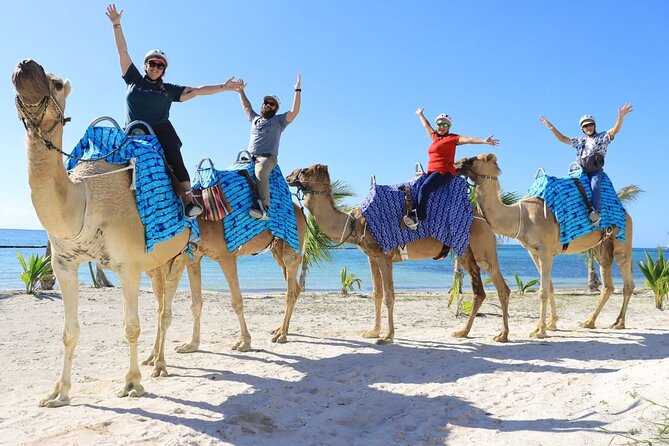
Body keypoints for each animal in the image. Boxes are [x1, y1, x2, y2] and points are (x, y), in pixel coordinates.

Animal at [12, 59, 191, 407]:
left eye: (56, 83)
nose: (25, 64)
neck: (83, 198)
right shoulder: (63, 264)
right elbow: (69, 332)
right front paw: (58, 393)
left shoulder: (128, 265)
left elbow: (131, 327)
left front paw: (132, 383)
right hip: (156, 263)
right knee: (161, 304)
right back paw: (153, 359)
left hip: (183, 254)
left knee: (166, 310)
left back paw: (160, 366)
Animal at [142, 209, 306, 378]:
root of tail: (302, 213)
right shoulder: (192, 257)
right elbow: (194, 305)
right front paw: (189, 346)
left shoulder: (225, 256)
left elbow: (236, 302)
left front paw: (244, 342)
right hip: (277, 251)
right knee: (296, 288)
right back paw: (280, 330)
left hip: (291, 248)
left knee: (290, 290)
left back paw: (282, 335)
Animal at [286, 164, 511, 344]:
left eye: (304, 170)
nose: (288, 176)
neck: (355, 223)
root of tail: (482, 217)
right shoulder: (372, 257)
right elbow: (376, 294)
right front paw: (373, 332)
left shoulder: (384, 256)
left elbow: (389, 295)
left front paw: (387, 336)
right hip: (471, 249)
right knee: (489, 289)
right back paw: (474, 333)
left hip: (475, 245)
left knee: (491, 286)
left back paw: (491, 334)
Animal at [456, 154, 634, 338]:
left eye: (473, 159)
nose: (457, 163)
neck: (521, 216)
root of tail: (626, 213)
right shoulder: (533, 252)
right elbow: (550, 288)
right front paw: (550, 325)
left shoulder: (545, 251)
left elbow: (542, 291)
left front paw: (540, 331)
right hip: (602, 246)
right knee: (607, 282)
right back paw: (589, 322)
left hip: (622, 237)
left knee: (626, 276)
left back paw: (619, 323)